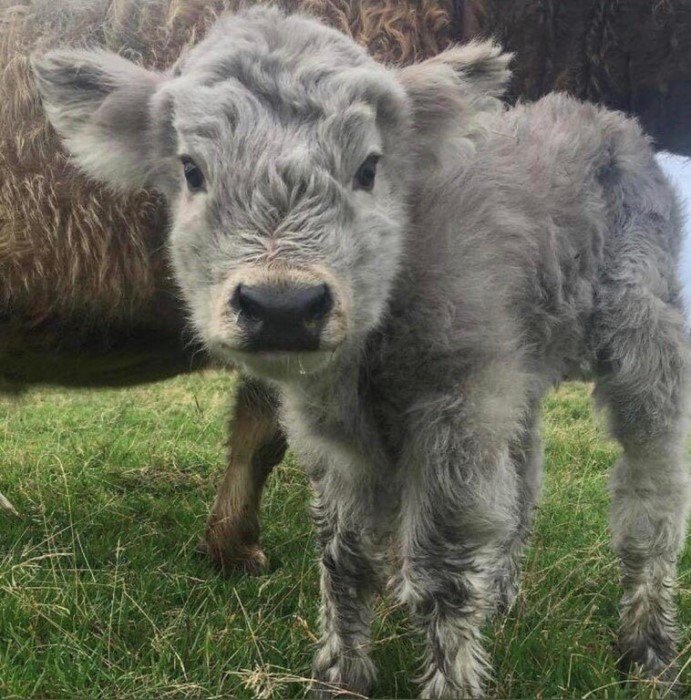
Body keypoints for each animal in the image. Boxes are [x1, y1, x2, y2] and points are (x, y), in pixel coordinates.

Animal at [33, 8, 691, 696]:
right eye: (191, 170)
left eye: (369, 167)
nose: (283, 305)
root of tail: (605, 118)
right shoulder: (338, 429)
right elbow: (344, 558)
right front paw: (339, 676)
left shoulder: (457, 403)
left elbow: (443, 566)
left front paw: (451, 682)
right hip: (520, 361)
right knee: (526, 466)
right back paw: (507, 595)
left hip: (643, 330)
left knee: (652, 486)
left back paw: (649, 647)